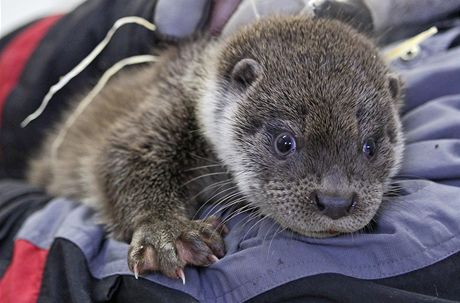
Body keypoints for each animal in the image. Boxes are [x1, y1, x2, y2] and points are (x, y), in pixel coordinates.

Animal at [27, 16, 404, 282]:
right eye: (285, 142)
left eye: (370, 146)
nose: (336, 201)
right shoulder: (167, 103)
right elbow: (119, 158)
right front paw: (168, 233)